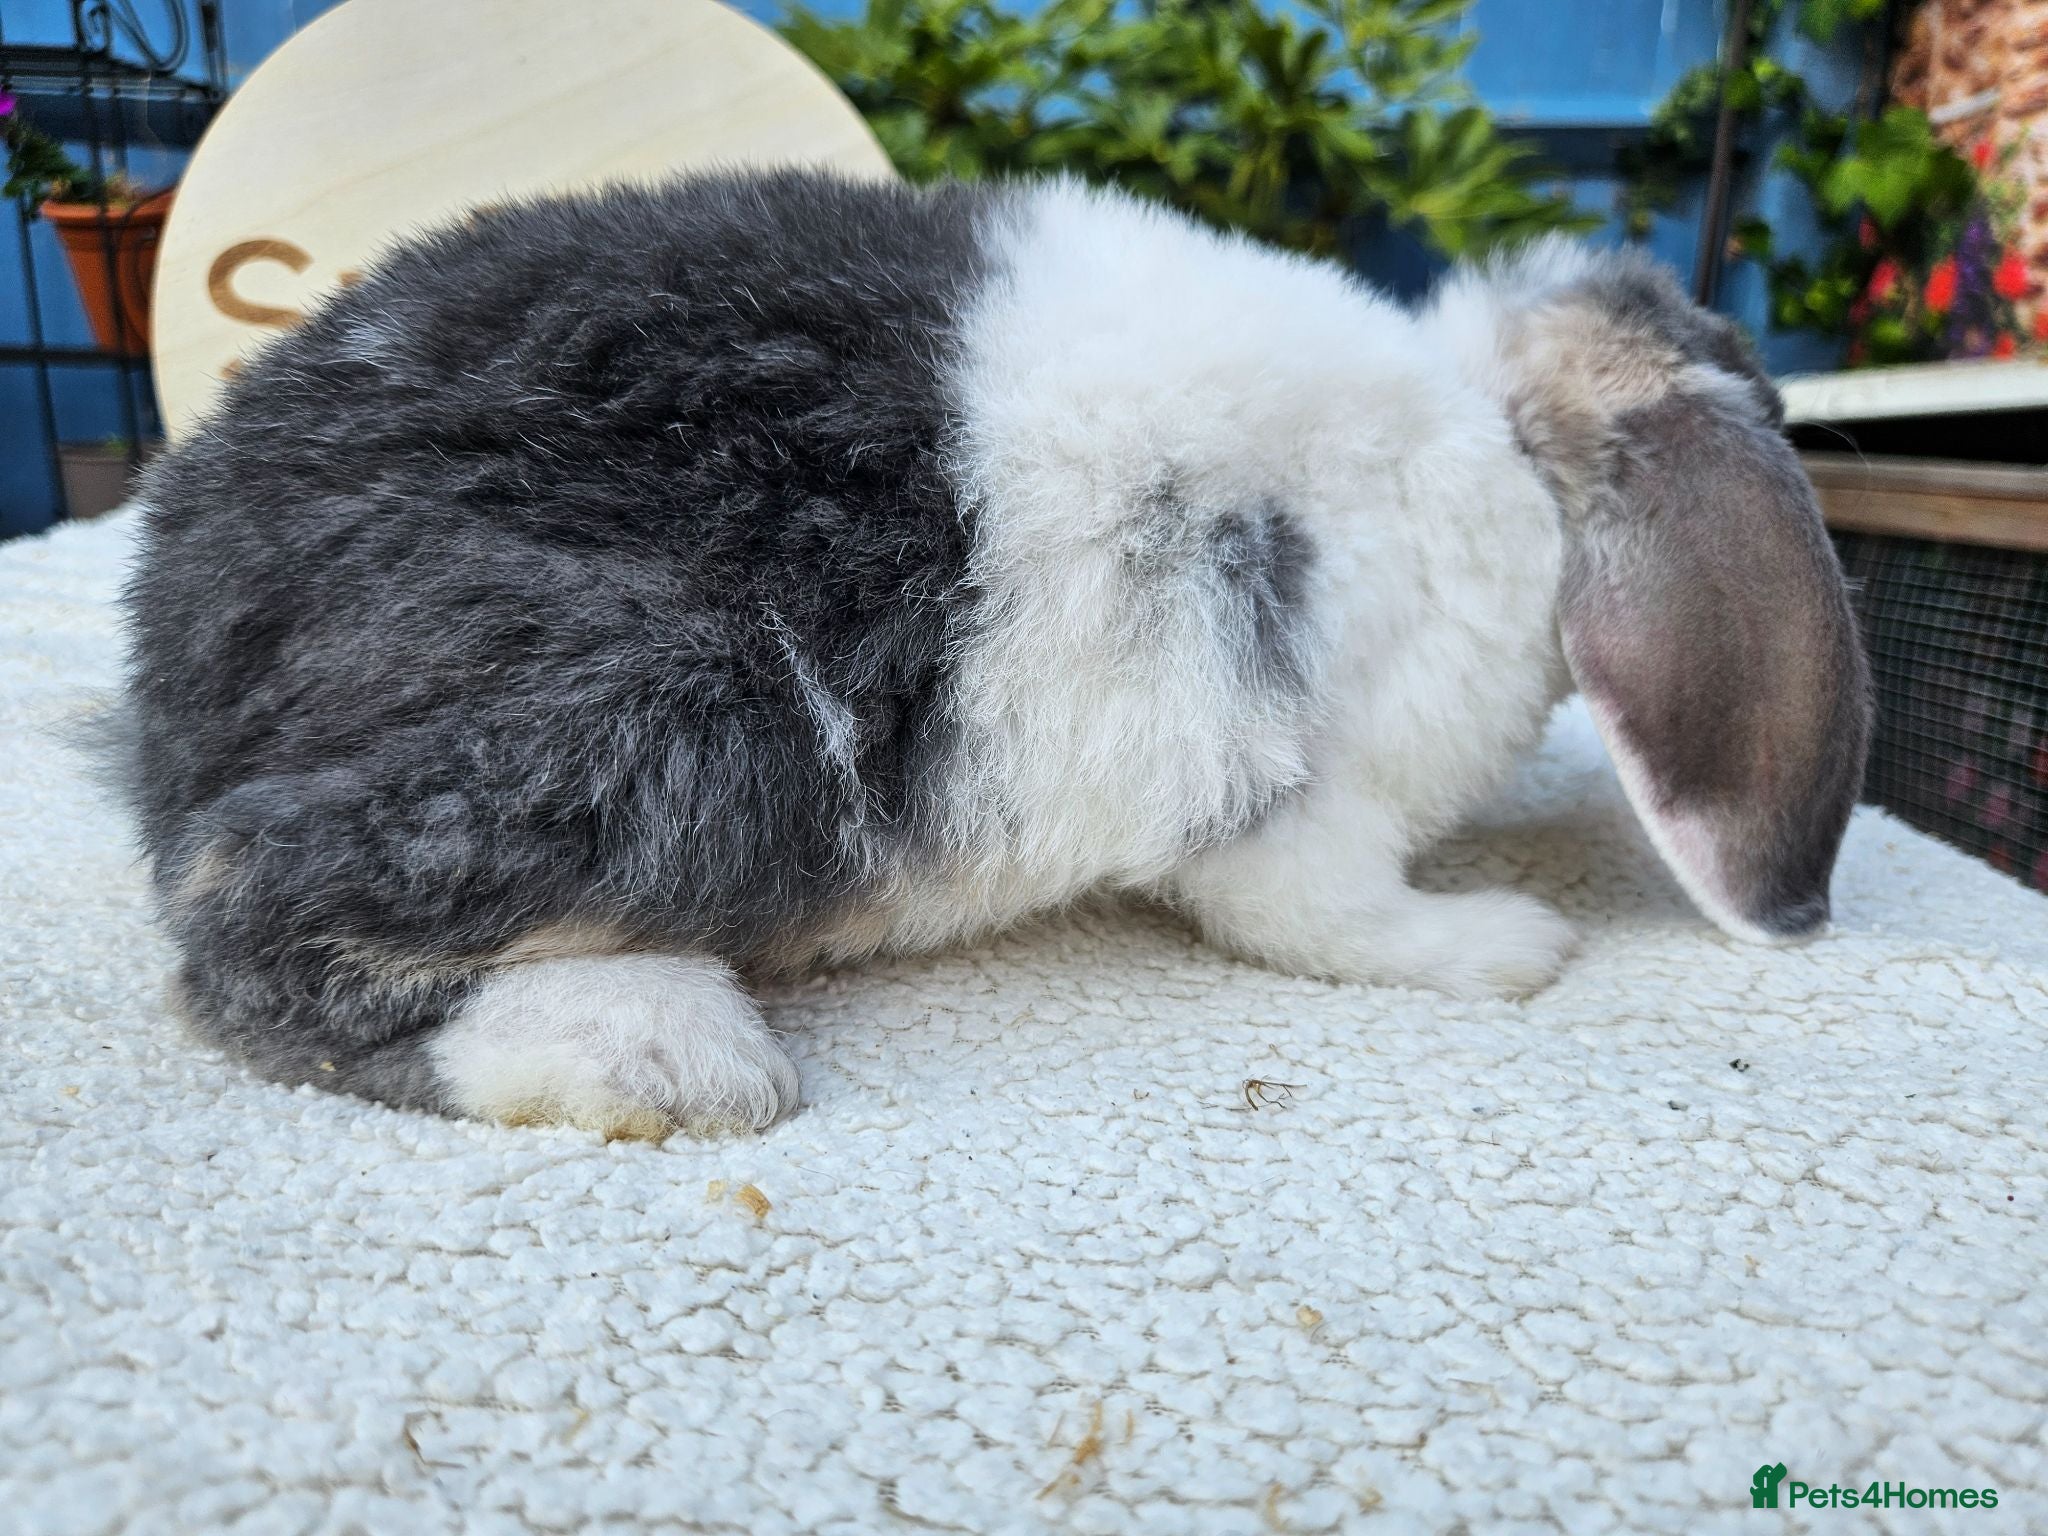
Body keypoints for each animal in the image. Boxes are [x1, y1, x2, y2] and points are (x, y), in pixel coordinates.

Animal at [117, 169, 1871, 1139]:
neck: (1500, 452)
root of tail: (176, 662)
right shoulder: (1307, 803)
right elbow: (1327, 921)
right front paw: (1513, 946)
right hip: (679, 721)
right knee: (248, 928)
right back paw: (665, 1055)